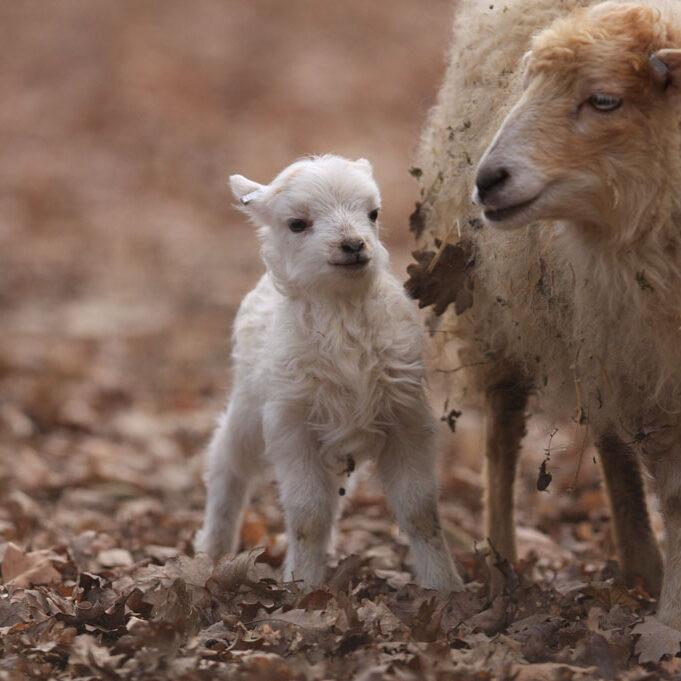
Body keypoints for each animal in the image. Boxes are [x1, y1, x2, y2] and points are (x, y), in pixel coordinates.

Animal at [197, 154, 462, 588]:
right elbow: (307, 516)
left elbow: (420, 511)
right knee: (227, 460)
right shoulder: (291, 423)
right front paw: (302, 583)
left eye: (373, 213)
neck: (342, 311)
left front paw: (446, 587)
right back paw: (211, 549)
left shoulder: (405, 417)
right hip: (249, 405)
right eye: (297, 224)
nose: (353, 245)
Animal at [406, 0, 680, 628]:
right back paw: (502, 570)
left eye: (604, 100)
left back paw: (641, 567)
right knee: (503, 435)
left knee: (609, 437)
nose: (487, 180)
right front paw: (673, 617)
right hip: (506, 317)